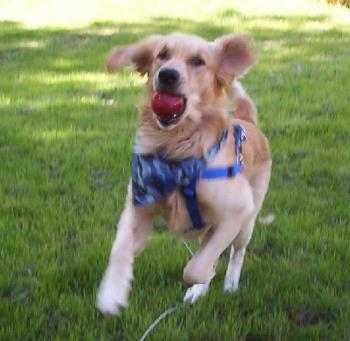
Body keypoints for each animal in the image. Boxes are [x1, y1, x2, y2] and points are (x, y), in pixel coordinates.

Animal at [97, 31, 272, 314]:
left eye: (198, 61)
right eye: (162, 54)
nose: (167, 75)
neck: (175, 153)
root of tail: (248, 121)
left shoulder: (237, 210)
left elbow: (195, 268)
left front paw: (203, 278)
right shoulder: (139, 205)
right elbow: (119, 248)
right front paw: (111, 293)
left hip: (248, 221)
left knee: (236, 252)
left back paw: (229, 284)